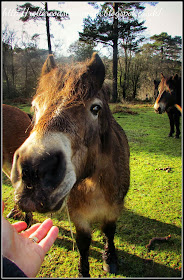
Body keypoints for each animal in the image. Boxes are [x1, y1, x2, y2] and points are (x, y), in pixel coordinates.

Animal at [11, 53, 129, 278]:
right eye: (35, 107)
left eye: (95, 108)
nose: (33, 171)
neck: (94, 184)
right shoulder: (78, 216)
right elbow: (83, 242)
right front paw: (84, 271)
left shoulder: (113, 209)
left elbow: (109, 232)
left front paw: (110, 258)